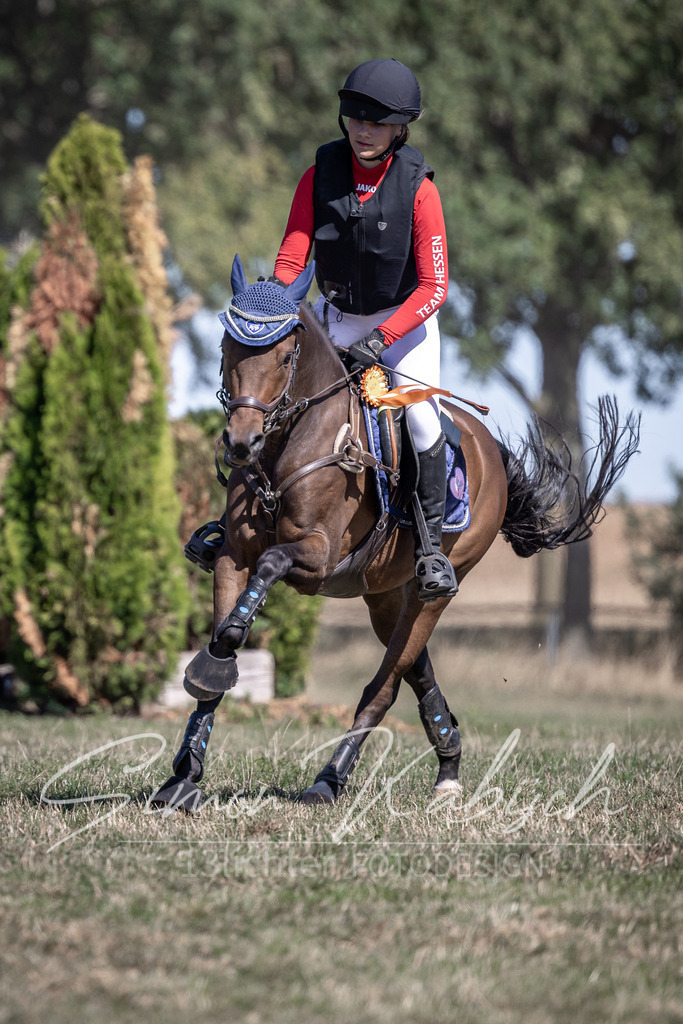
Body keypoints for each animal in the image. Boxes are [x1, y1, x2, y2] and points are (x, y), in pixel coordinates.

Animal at [153, 257, 640, 810]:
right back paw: (448, 761)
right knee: (415, 666)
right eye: (226, 348)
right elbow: (223, 633)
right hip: (383, 594)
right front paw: (185, 770)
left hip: (436, 588)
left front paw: (214, 666)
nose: (240, 444)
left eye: (285, 355)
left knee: (383, 687)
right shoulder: (234, 556)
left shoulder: (317, 558)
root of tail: (489, 448)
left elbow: (271, 568)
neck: (288, 446)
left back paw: (330, 779)